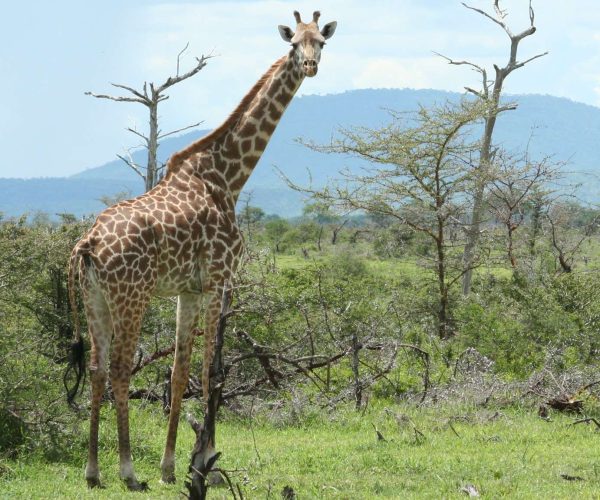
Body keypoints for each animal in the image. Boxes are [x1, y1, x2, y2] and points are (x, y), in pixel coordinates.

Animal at [66, 9, 338, 490]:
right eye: (294, 45)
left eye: (320, 42)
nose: (309, 65)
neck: (228, 177)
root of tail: (88, 242)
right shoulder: (219, 279)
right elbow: (213, 370)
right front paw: (205, 460)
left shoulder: (187, 290)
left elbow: (179, 372)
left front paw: (172, 466)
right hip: (131, 295)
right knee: (119, 367)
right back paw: (127, 471)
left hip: (94, 296)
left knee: (97, 368)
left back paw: (94, 471)